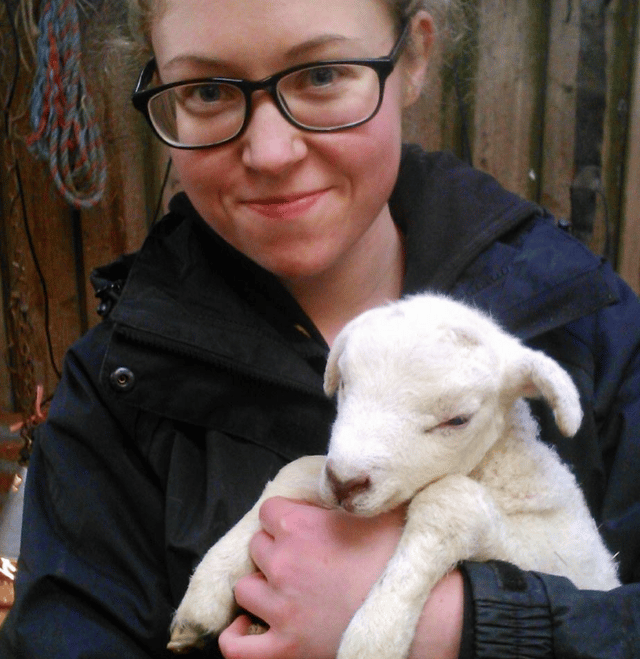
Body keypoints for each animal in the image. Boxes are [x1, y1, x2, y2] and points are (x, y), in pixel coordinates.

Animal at [168, 296, 616, 659]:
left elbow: (449, 498)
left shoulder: (567, 558)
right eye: (345, 383)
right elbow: (300, 468)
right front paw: (206, 590)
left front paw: (376, 633)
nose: (345, 482)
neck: (498, 468)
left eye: (457, 420)